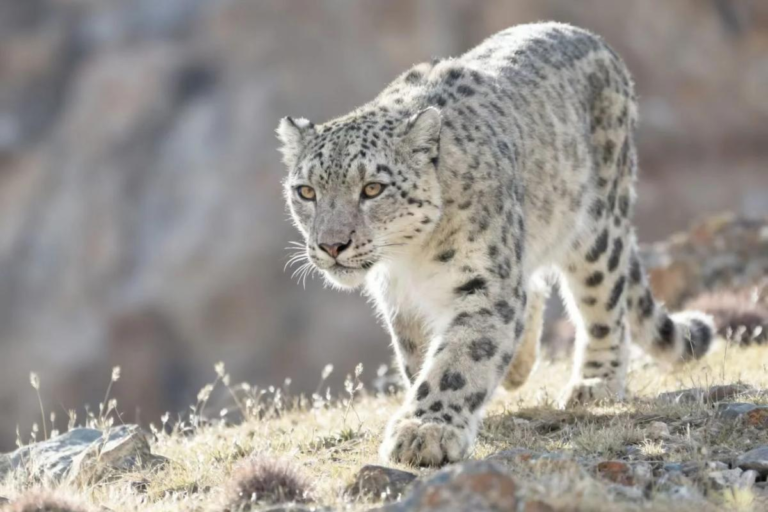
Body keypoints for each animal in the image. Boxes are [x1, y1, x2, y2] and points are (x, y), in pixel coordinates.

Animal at [277, 22, 715, 467]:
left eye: (372, 188)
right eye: (306, 191)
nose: (332, 245)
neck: (411, 259)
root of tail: (589, 35)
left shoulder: (485, 281)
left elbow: (458, 358)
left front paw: (425, 431)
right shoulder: (402, 300)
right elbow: (420, 356)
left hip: (595, 227)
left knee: (602, 303)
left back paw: (596, 383)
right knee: (535, 287)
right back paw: (520, 365)